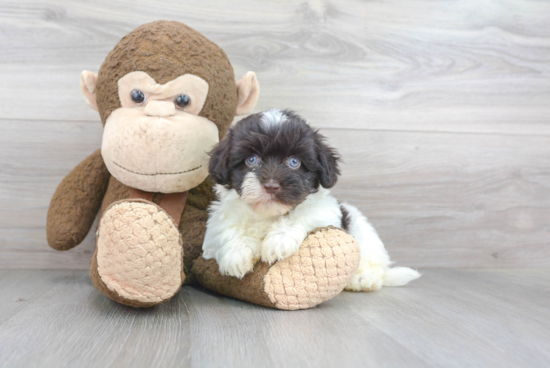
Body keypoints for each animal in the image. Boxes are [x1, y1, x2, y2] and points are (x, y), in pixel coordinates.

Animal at [203, 108, 422, 290]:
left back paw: (363, 279)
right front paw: (236, 253)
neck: (269, 215)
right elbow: (228, 230)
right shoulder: (218, 224)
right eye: (251, 160)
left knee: (375, 267)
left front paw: (278, 240)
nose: (271, 185)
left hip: (364, 235)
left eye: (294, 162)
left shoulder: (324, 213)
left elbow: (300, 216)